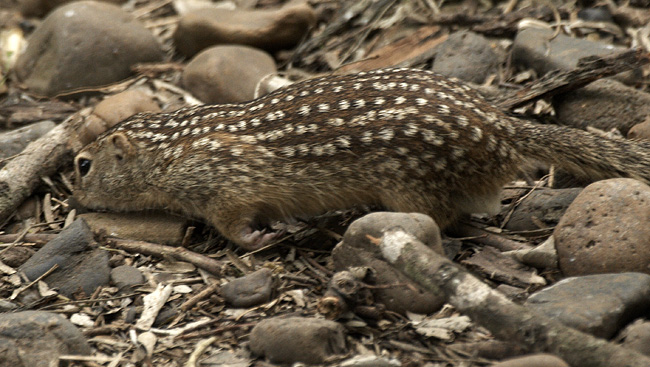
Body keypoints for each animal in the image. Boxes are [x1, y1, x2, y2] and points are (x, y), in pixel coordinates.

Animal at [73, 68, 648, 250]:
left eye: (82, 166)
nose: (74, 202)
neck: (171, 150)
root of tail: (504, 129)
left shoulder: (225, 189)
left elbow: (234, 225)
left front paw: (261, 238)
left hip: (412, 184)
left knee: (442, 216)